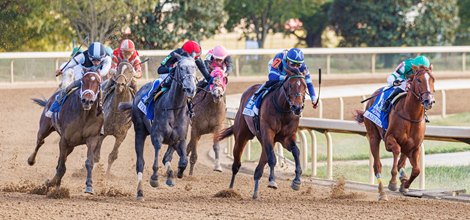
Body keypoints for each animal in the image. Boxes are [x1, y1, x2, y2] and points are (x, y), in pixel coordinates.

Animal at [119, 54, 198, 200]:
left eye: (194, 67)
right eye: (181, 67)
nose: (191, 89)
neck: (174, 108)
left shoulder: (179, 138)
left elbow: (181, 160)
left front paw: (177, 173)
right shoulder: (157, 136)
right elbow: (156, 158)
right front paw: (155, 179)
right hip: (140, 131)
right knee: (140, 163)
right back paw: (140, 192)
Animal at [215, 69, 306, 199]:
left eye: (305, 86)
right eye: (290, 85)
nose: (298, 107)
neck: (282, 109)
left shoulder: (287, 138)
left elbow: (296, 152)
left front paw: (297, 181)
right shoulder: (268, 133)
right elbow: (272, 158)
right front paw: (272, 181)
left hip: (264, 140)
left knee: (261, 163)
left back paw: (255, 190)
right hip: (242, 136)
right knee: (236, 164)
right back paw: (230, 190)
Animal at [356, 64, 436, 200]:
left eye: (433, 80)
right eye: (418, 80)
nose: (428, 101)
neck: (411, 116)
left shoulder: (414, 147)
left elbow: (416, 170)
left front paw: (405, 185)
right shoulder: (389, 139)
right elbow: (396, 152)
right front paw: (393, 182)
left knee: (400, 163)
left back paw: (402, 179)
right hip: (373, 137)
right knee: (377, 166)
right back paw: (382, 193)